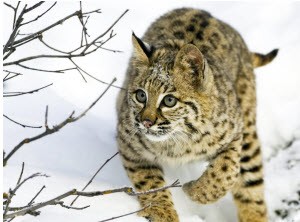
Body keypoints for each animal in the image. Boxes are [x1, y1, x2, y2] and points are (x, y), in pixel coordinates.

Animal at [116, 7, 278, 222]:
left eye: (169, 101)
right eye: (141, 95)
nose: (146, 123)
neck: (179, 139)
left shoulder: (234, 134)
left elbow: (226, 171)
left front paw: (193, 191)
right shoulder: (129, 144)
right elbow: (149, 183)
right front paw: (163, 213)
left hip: (248, 127)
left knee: (251, 181)